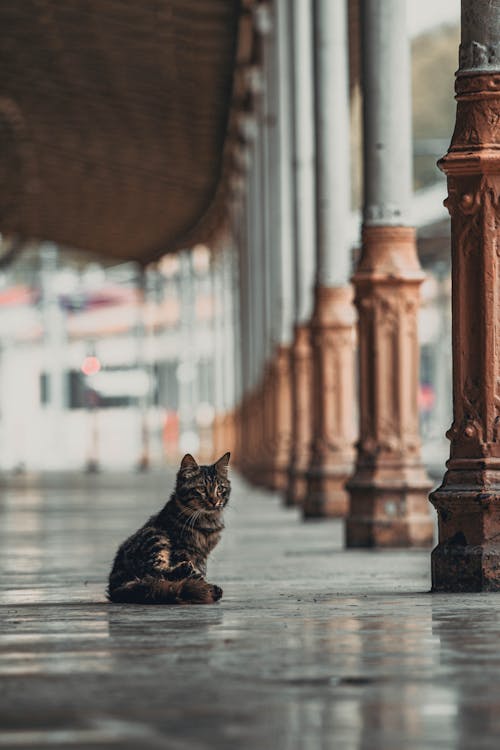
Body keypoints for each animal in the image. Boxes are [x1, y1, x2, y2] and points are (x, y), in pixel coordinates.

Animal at [107, 452, 230, 604]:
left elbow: (201, 570)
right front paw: (202, 583)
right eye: (201, 489)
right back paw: (189, 574)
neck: (207, 521)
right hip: (156, 536)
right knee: (154, 572)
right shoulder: (182, 550)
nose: (214, 501)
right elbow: (197, 573)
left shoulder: (202, 557)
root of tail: (116, 587)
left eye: (220, 488)